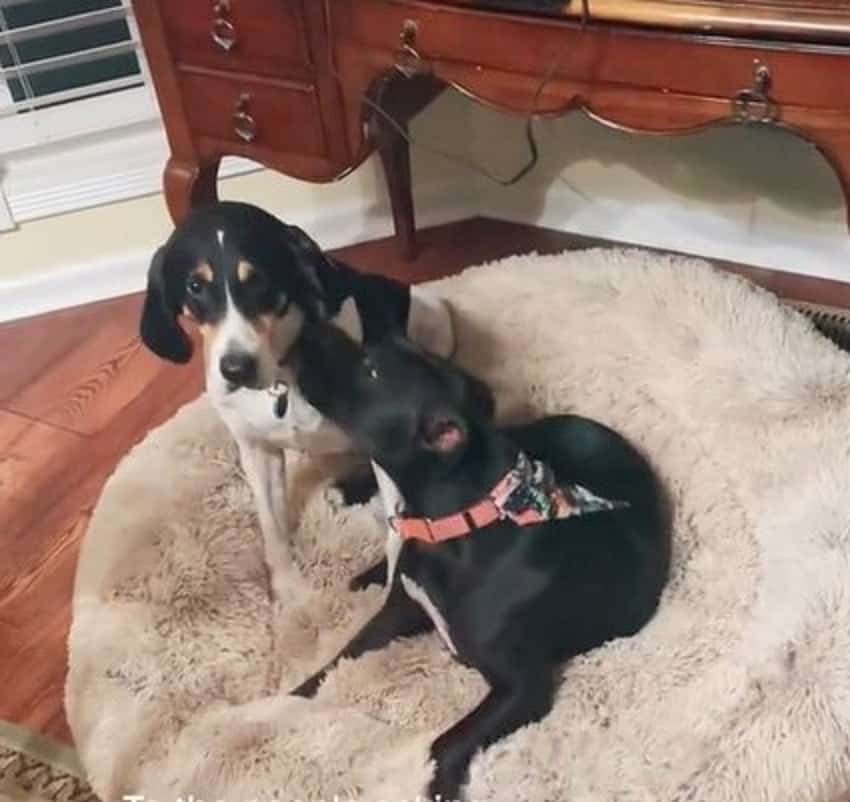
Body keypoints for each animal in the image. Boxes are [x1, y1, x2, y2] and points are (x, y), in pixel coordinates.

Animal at [138, 200, 454, 592]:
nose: (236, 369)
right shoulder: (258, 452)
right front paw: (289, 592)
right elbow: (272, 528)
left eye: (258, 281)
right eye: (195, 286)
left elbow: (398, 534)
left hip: (437, 322)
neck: (283, 375)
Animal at [290, 324, 668, 800]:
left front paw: (437, 783)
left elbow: (447, 740)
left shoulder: (523, 687)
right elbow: (339, 660)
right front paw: (287, 700)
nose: (305, 331)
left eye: (371, 370)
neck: (453, 523)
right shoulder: (399, 609)